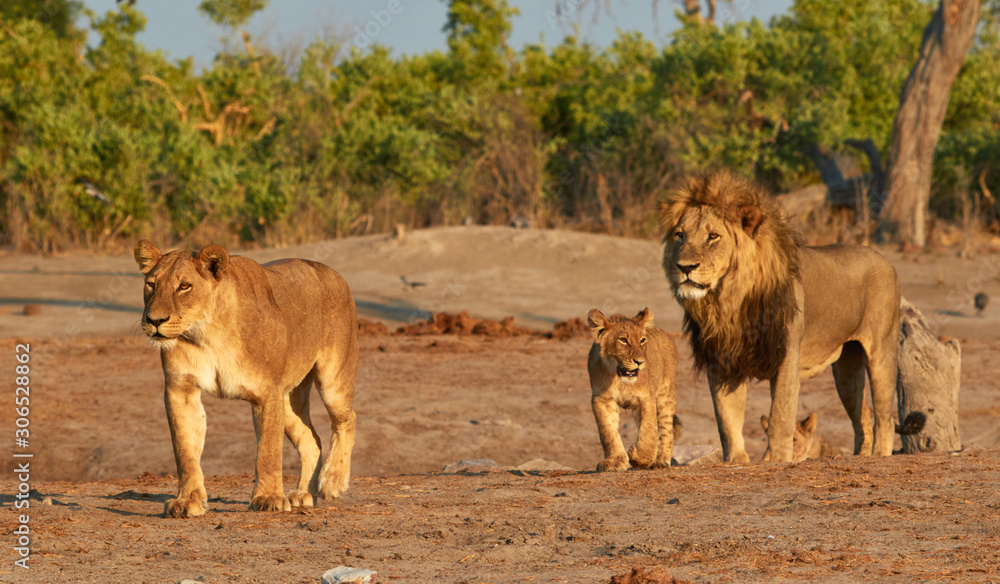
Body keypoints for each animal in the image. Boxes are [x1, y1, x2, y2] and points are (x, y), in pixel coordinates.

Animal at [134, 240, 359, 518]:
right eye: (151, 285)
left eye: (184, 286)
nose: (154, 320)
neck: (207, 334)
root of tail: (332, 272)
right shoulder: (180, 390)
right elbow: (185, 450)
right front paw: (188, 500)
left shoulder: (267, 393)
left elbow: (268, 451)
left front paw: (269, 497)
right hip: (288, 400)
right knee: (311, 440)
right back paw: (303, 493)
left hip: (332, 381)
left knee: (347, 419)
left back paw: (333, 480)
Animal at [587, 308, 680, 472]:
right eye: (623, 340)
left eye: (642, 340)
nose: (640, 362)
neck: (618, 378)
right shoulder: (602, 398)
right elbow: (608, 432)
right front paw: (615, 461)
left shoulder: (646, 398)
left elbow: (649, 431)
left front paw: (639, 458)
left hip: (666, 394)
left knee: (666, 431)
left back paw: (661, 460)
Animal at [660, 170, 899, 463]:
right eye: (679, 235)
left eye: (713, 237)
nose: (684, 267)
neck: (728, 301)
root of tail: (885, 260)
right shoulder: (722, 358)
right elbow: (727, 417)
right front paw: (736, 461)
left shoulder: (786, 354)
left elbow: (780, 417)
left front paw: (776, 459)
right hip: (846, 369)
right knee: (862, 417)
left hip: (881, 353)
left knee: (885, 418)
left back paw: (880, 455)